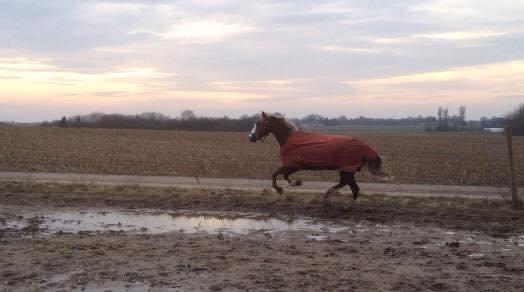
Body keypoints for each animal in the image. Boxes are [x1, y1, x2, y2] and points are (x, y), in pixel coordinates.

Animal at [248, 110, 386, 200]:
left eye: (258, 123)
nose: (250, 137)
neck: (288, 139)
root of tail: (363, 146)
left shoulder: (292, 165)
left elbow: (276, 174)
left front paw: (282, 188)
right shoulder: (294, 167)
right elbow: (283, 175)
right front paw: (293, 184)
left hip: (347, 170)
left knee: (353, 187)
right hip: (347, 171)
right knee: (349, 186)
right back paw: (328, 195)